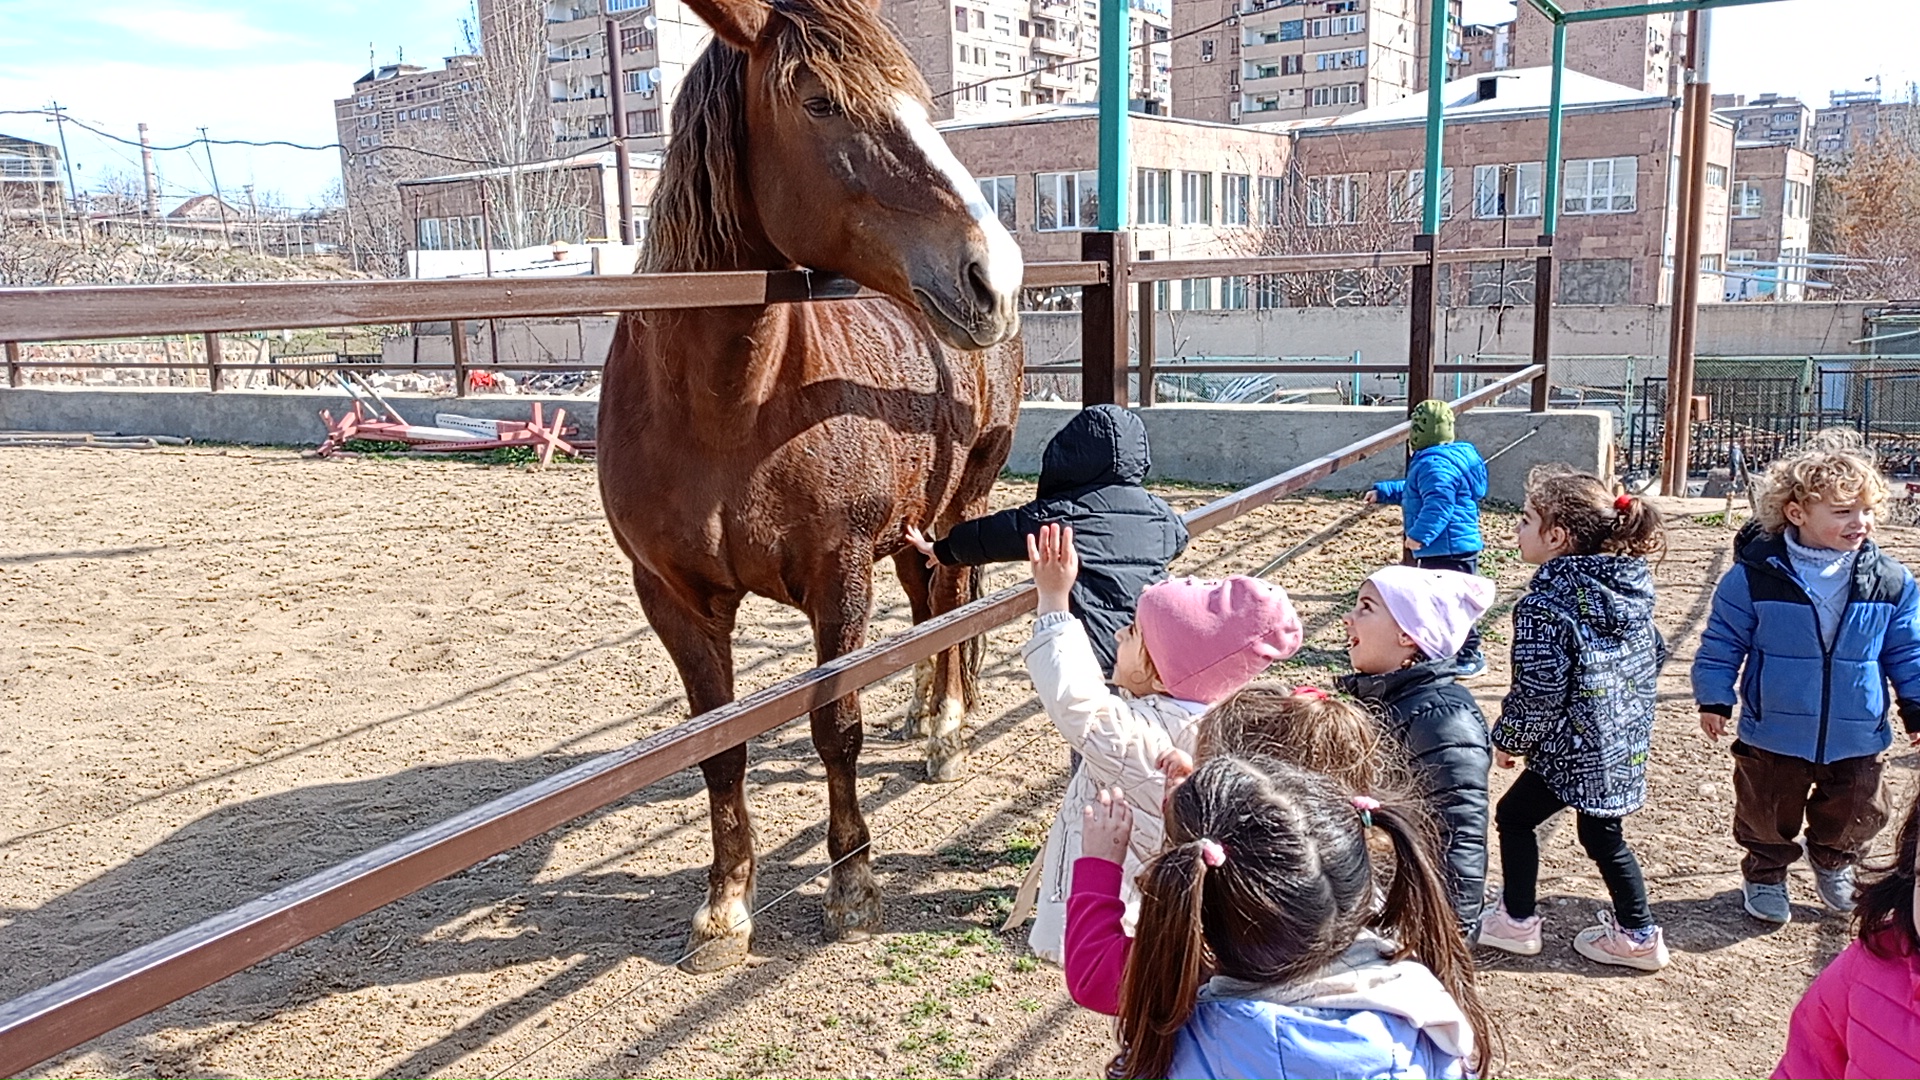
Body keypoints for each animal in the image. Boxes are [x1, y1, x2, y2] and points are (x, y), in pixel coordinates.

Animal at [599, 0, 1029, 968]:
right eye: (821, 101)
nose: (993, 277)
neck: (730, 408)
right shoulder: (672, 598)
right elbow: (718, 749)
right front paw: (724, 908)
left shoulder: (840, 577)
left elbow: (837, 729)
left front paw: (853, 886)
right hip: (912, 529)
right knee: (928, 607)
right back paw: (925, 713)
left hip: (964, 503)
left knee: (953, 607)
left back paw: (948, 730)